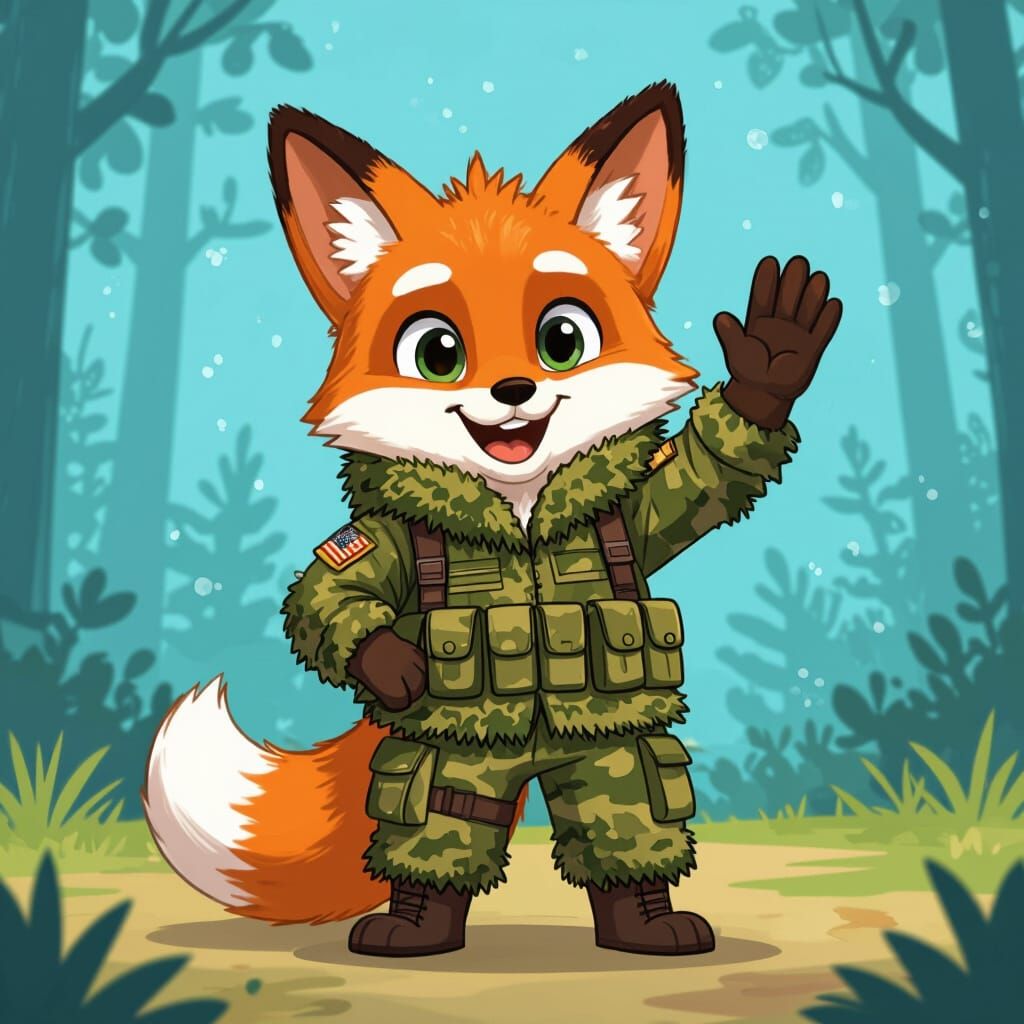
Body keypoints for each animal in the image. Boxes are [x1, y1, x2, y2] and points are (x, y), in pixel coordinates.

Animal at [144, 82, 840, 954]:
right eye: (437, 351)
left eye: (563, 338)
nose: (514, 390)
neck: (520, 510)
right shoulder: (380, 541)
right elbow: (324, 596)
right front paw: (391, 661)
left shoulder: (639, 509)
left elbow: (710, 471)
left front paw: (769, 365)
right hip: (453, 758)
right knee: (441, 819)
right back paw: (412, 928)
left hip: (608, 749)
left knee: (627, 812)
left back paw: (648, 924)